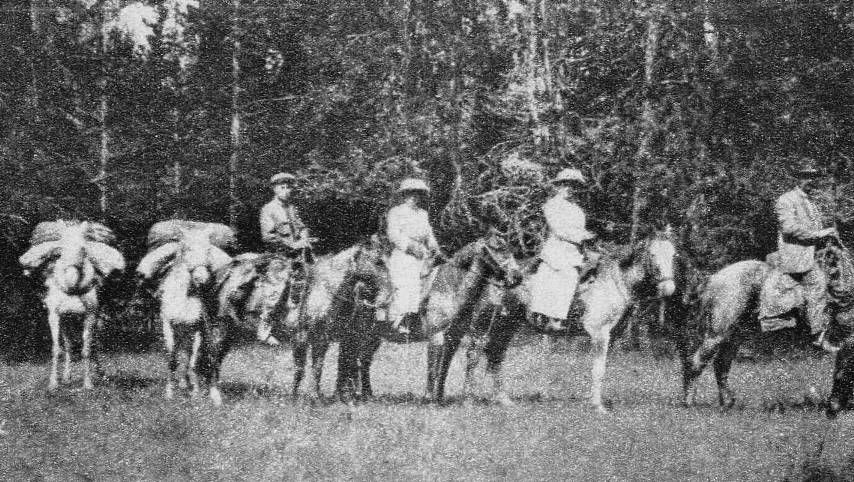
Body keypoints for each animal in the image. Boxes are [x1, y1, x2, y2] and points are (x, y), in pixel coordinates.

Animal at [18, 222, 125, 392]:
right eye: (60, 249)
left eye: (83, 248)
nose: (71, 274)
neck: (72, 290)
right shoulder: (54, 316)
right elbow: (57, 349)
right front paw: (53, 383)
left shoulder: (90, 316)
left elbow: (86, 349)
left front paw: (88, 383)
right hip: (67, 321)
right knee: (68, 345)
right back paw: (67, 377)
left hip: (92, 319)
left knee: (93, 344)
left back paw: (101, 374)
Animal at [140, 224, 234, 404]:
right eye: (188, 249)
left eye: (208, 250)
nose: (202, 279)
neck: (185, 297)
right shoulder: (168, 327)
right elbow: (172, 360)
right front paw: (169, 393)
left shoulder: (198, 329)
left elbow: (194, 363)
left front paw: (196, 394)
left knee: (204, 359)